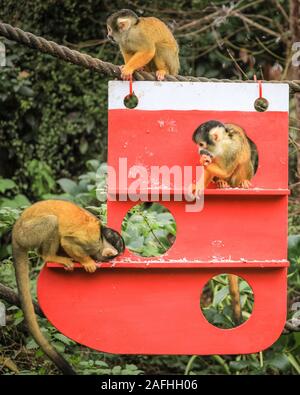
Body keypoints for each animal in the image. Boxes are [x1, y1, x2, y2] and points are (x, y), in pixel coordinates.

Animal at [11, 200, 124, 376]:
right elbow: (68, 241)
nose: (109, 260)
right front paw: (87, 262)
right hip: (27, 234)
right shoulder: (91, 239)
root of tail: (15, 233)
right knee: (52, 222)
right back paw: (50, 256)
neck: (101, 237)